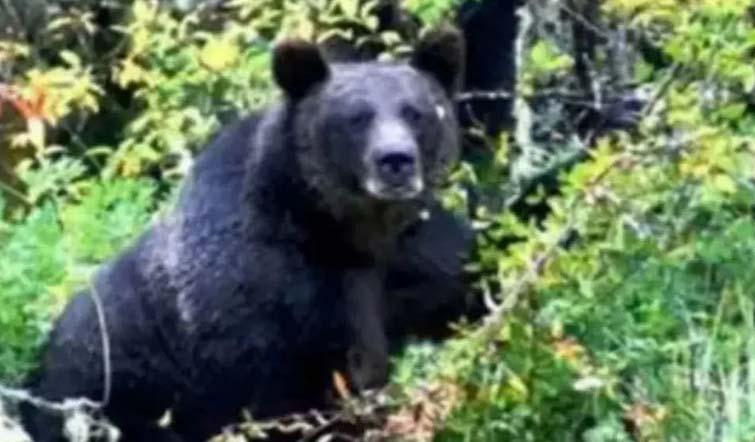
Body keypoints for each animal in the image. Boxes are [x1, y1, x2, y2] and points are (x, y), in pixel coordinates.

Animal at [21, 27, 470, 442]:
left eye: (415, 112)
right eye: (356, 118)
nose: (396, 161)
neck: (343, 228)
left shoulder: (415, 256)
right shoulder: (267, 295)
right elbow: (295, 394)